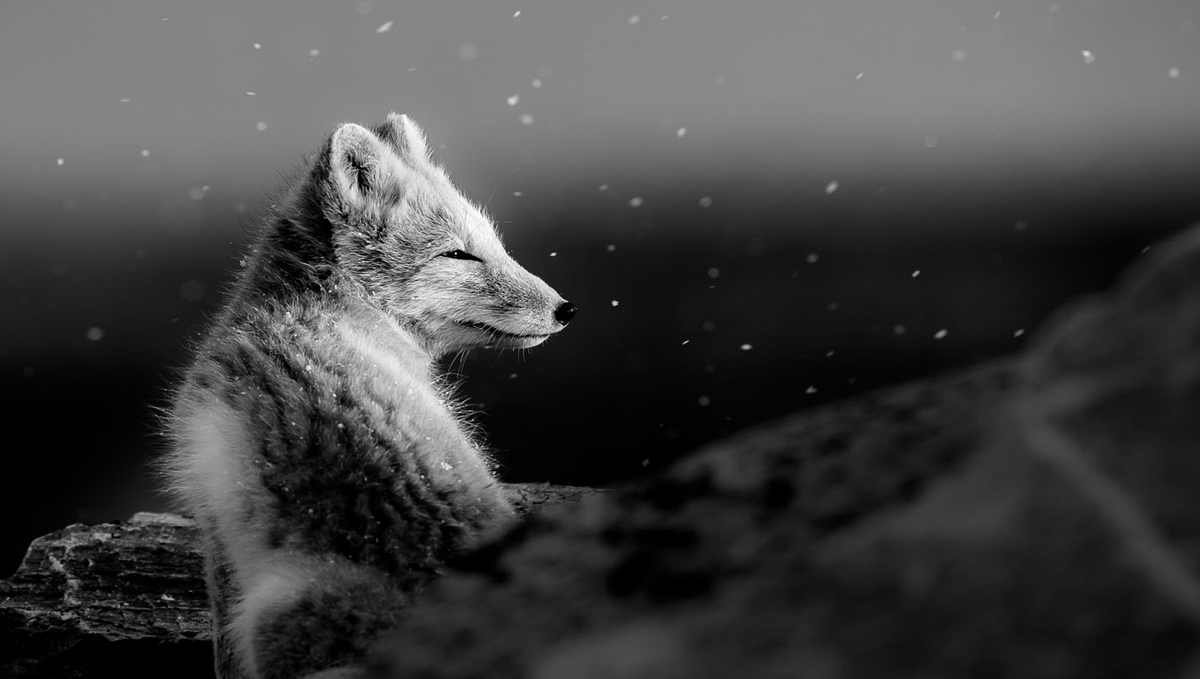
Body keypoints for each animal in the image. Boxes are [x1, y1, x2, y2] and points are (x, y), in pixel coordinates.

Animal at [163, 113, 576, 679]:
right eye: (458, 254)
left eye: (494, 244)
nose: (567, 309)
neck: (317, 311)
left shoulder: (214, 525)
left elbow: (223, 651)